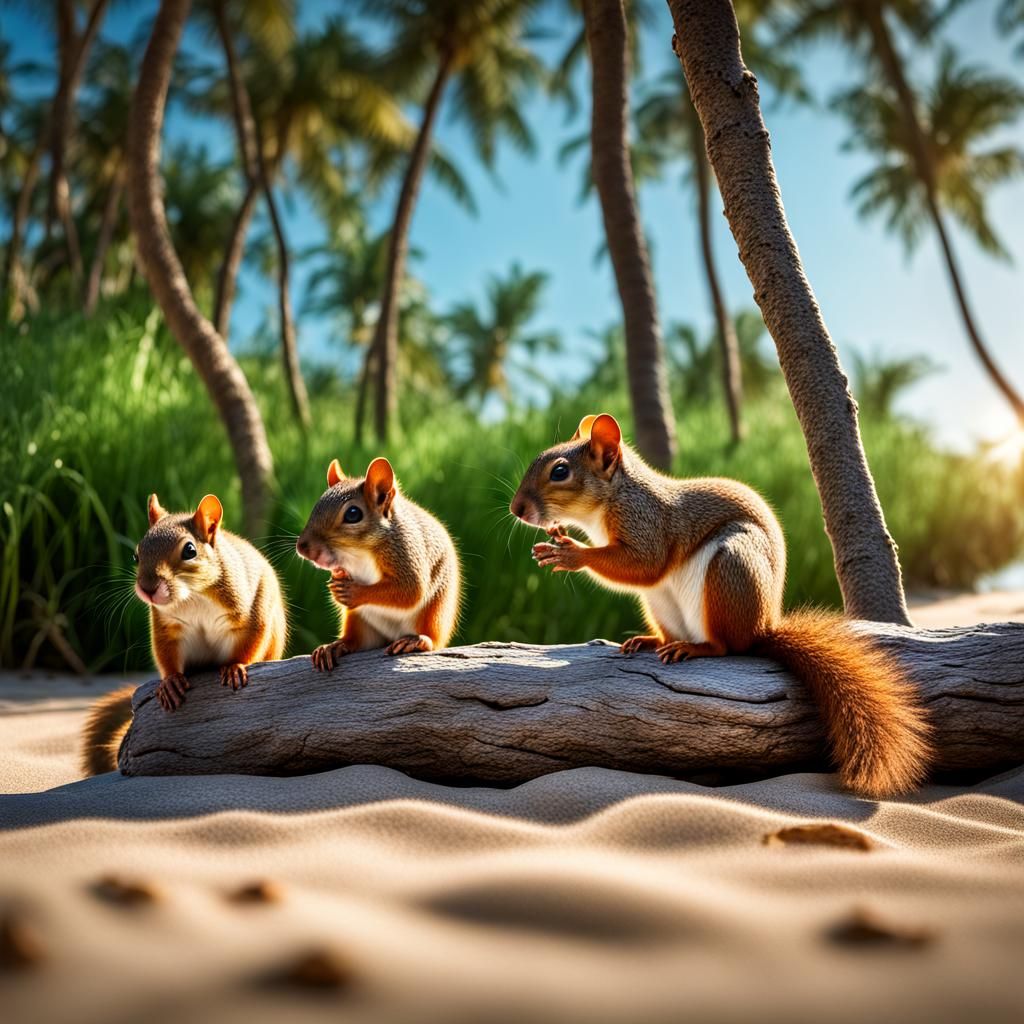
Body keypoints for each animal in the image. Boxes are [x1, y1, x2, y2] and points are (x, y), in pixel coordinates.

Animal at [80, 493, 287, 775]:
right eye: (136, 554)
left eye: (190, 550)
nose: (147, 588)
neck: (193, 595)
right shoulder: (166, 626)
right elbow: (166, 653)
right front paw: (171, 682)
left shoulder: (251, 611)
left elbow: (252, 639)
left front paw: (235, 666)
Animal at [296, 457, 461, 667]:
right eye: (316, 507)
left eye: (352, 514)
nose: (302, 547)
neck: (357, 554)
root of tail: (392, 636)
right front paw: (338, 577)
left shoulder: (406, 552)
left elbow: (411, 590)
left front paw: (353, 592)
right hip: (358, 620)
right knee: (356, 641)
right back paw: (335, 646)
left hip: (434, 612)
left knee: (433, 638)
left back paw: (417, 641)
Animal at [510, 413, 932, 798]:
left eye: (560, 471)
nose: (517, 509)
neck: (612, 499)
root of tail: (762, 627)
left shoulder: (648, 523)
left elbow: (644, 564)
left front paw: (571, 553)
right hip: (660, 603)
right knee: (674, 631)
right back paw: (651, 641)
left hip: (729, 566)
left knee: (727, 646)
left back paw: (696, 648)